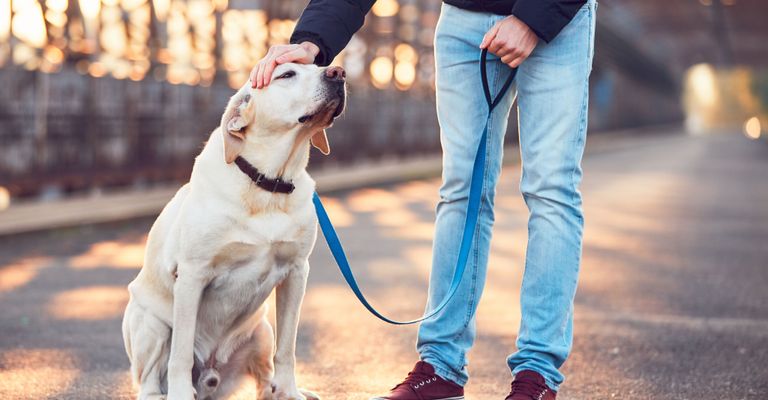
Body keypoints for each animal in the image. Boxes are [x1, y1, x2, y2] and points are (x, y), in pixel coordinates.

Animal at [121, 63, 346, 400]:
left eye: (317, 65)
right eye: (286, 74)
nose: (338, 73)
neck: (268, 183)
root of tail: (211, 379)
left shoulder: (296, 272)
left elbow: (287, 348)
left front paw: (289, 391)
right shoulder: (192, 275)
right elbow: (181, 354)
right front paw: (180, 392)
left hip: (261, 330)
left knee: (265, 376)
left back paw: (281, 390)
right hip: (148, 321)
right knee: (149, 379)